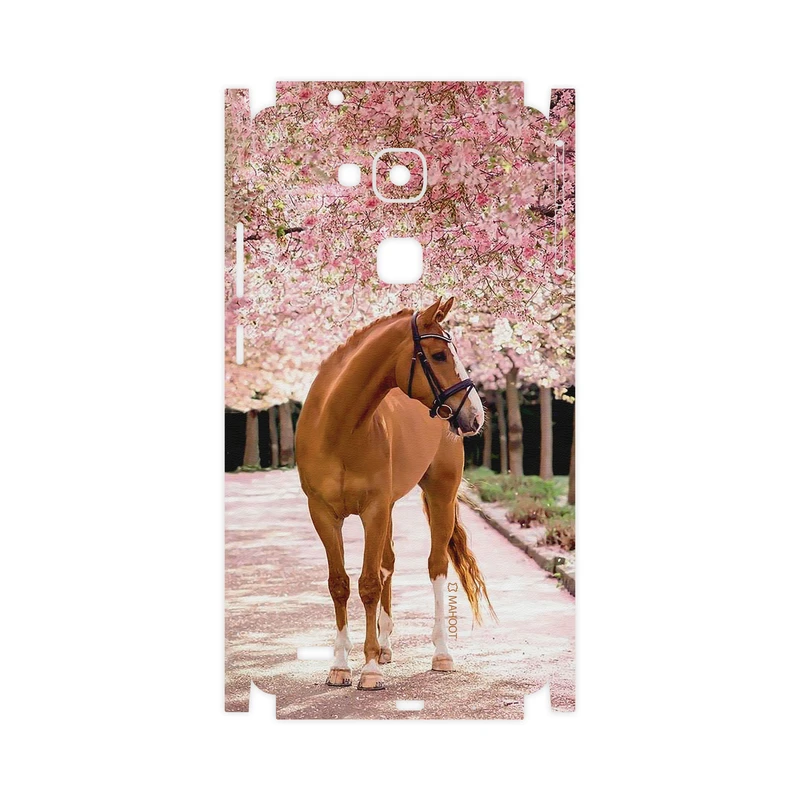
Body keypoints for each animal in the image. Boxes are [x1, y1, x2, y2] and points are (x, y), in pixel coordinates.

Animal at [295, 297, 494, 690]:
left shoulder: (373, 510)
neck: (338, 428)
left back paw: (441, 653)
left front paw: (369, 669)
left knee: (435, 566)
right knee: (388, 563)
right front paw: (340, 665)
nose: (476, 416)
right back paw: (385, 646)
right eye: (438, 355)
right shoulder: (324, 514)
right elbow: (340, 584)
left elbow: (369, 583)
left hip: (439, 494)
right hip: (388, 508)